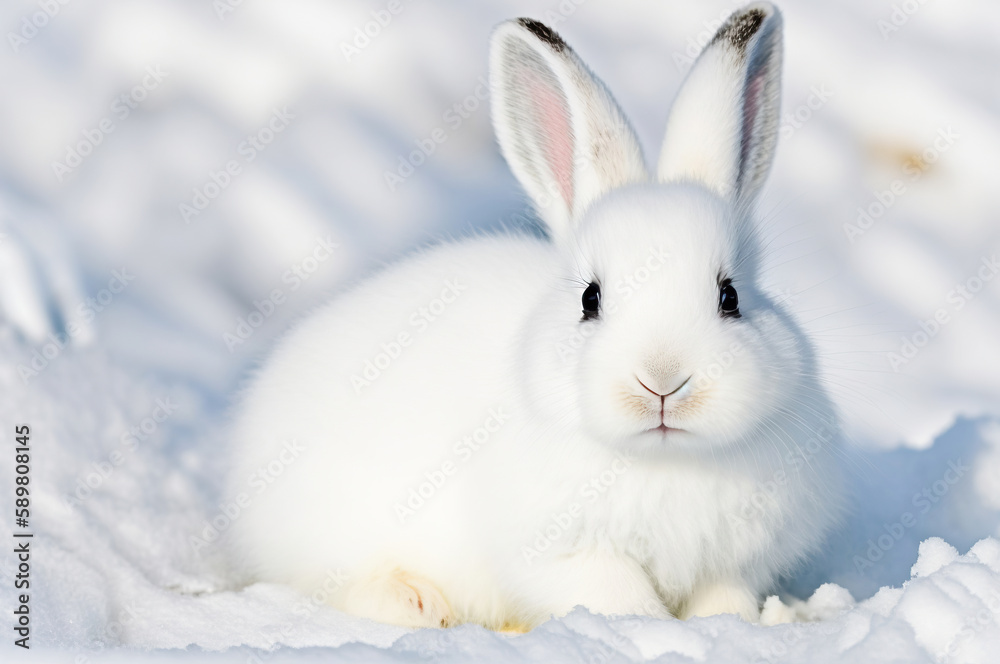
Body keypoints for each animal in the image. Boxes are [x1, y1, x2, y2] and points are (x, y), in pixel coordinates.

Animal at [226, 2, 844, 631]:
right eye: (590, 299)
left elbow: (725, 598)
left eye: (730, 297)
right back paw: (416, 602)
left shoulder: (732, 565)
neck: (665, 459)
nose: (662, 381)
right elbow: (620, 597)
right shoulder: (572, 556)